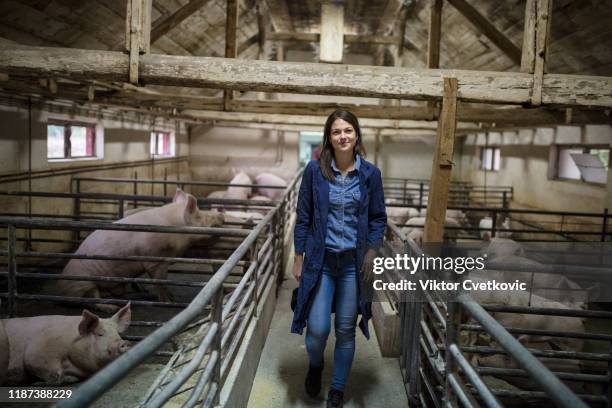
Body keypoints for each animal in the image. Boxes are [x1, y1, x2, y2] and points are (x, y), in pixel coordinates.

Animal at [0, 302, 130, 386]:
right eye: (100, 334)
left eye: (118, 333)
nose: (123, 343)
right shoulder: (36, 352)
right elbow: (54, 374)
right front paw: (37, 384)